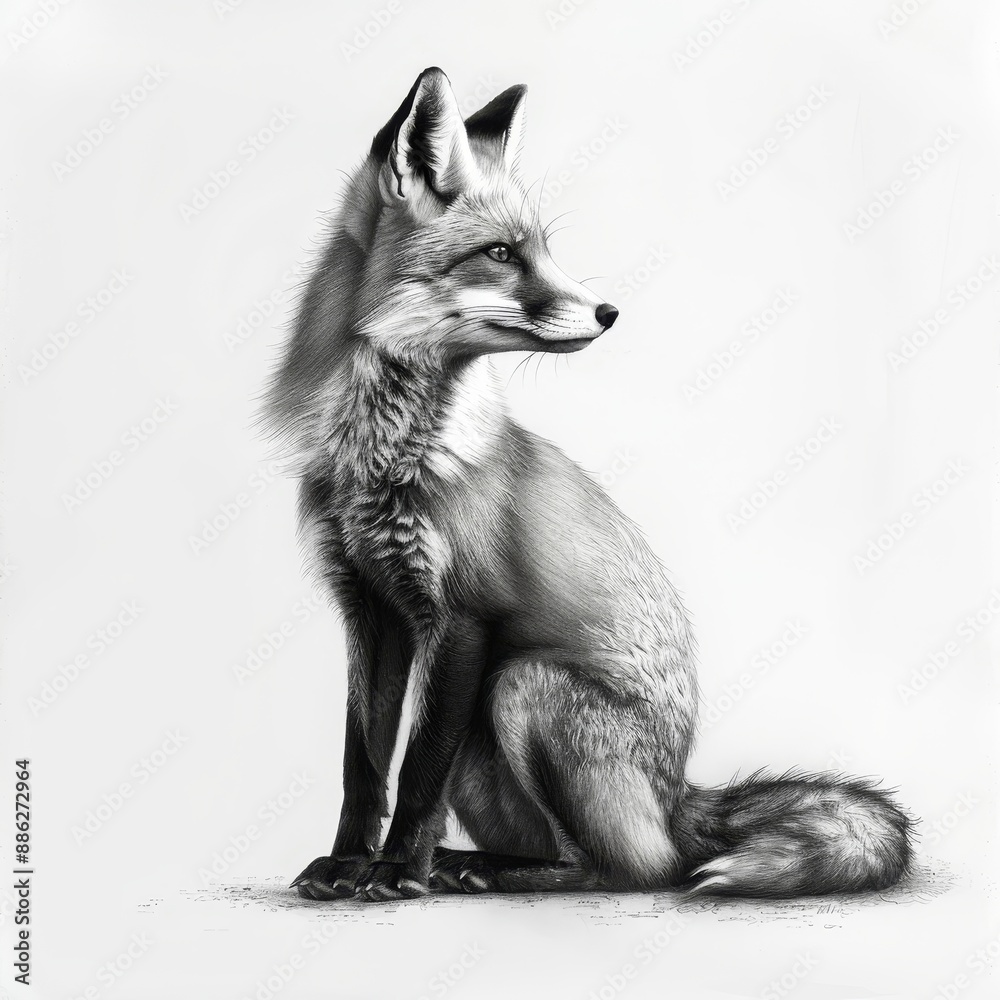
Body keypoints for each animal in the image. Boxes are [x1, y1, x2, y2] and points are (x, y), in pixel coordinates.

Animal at [266, 67, 912, 901]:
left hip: (518, 684)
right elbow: (364, 765)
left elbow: (416, 772)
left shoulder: (464, 616)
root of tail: (676, 797)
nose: (609, 311)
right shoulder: (371, 610)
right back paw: (472, 864)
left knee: (628, 870)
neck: (381, 459)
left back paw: (482, 871)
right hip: (490, 733)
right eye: (501, 253)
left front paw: (395, 870)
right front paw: (348, 864)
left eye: (543, 250)